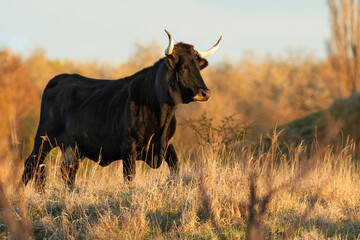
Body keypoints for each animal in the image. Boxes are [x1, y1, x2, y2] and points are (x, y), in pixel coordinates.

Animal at [21, 31, 221, 191]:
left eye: (198, 67)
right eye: (184, 67)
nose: (206, 92)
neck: (162, 115)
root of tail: (63, 77)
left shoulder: (166, 145)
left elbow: (175, 168)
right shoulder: (128, 146)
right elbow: (129, 177)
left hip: (72, 148)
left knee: (67, 172)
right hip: (44, 139)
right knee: (31, 164)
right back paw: (21, 196)